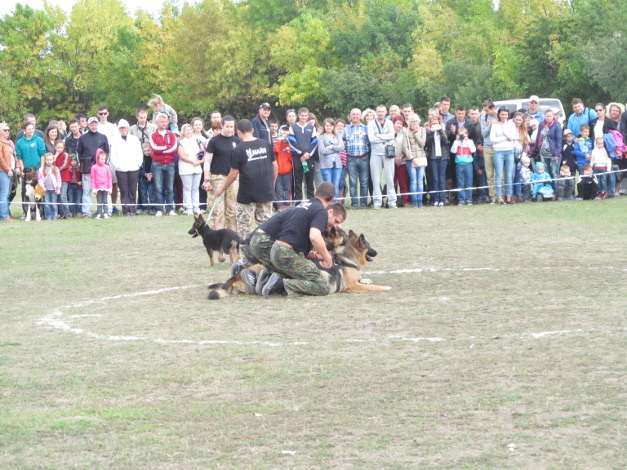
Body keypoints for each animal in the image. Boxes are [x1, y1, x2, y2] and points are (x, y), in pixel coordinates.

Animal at [209, 229, 390, 302]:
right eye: (370, 247)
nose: (377, 252)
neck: (349, 258)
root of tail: (237, 275)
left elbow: (364, 280)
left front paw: (367, 279)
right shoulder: (351, 286)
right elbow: (372, 287)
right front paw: (384, 287)